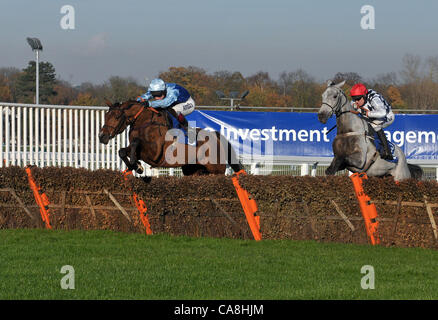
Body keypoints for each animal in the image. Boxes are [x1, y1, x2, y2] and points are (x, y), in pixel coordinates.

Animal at [97, 100, 245, 176]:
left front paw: (136, 164)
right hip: (193, 170)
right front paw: (136, 166)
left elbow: (136, 143)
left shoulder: (154, 153)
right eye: (106, 115)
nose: (102, 136)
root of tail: (217, 136)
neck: (145, 122)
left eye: (116, 116)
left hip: (216, 170)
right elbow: (122, 151)